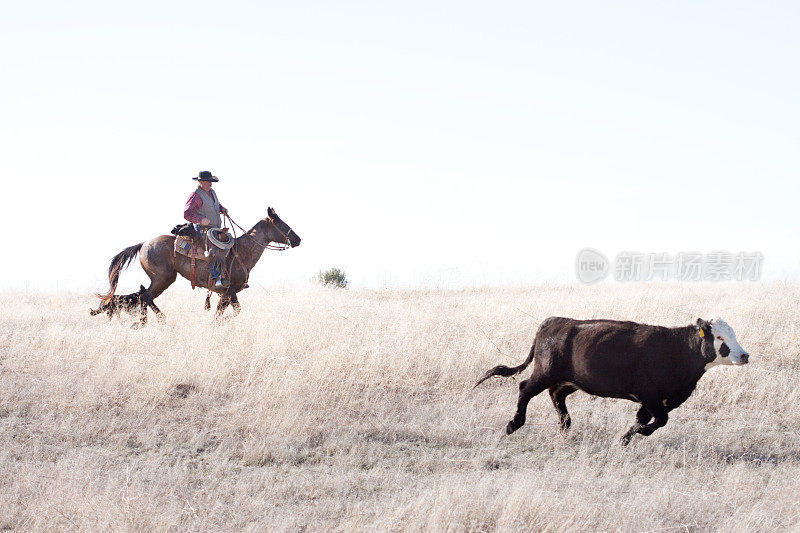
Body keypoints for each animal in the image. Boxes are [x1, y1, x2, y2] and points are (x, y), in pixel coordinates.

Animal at [96, 207, 300, 324]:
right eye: (281, 223)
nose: (298, 239)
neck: (241, 252)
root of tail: (144, 244)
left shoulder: (225, 295)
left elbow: (219, 314)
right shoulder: (229, 291)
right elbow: (234, 312)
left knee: (143, 296)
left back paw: (143, 323)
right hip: (163, 278)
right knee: (145, 296)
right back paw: (156, 321)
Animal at [472, 316, 748, 444]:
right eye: (720, 337)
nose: (744, 355)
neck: (676, 349)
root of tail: (555, 321)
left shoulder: (656, 400)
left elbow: (643, 420)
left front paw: (624, 440)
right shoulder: (649, 394)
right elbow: (659, 420)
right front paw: (638, 434)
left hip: (571, 380)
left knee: (555, 394)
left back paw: (565, 427)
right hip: (545, 371)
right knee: (525, 389)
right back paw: (513, 424)